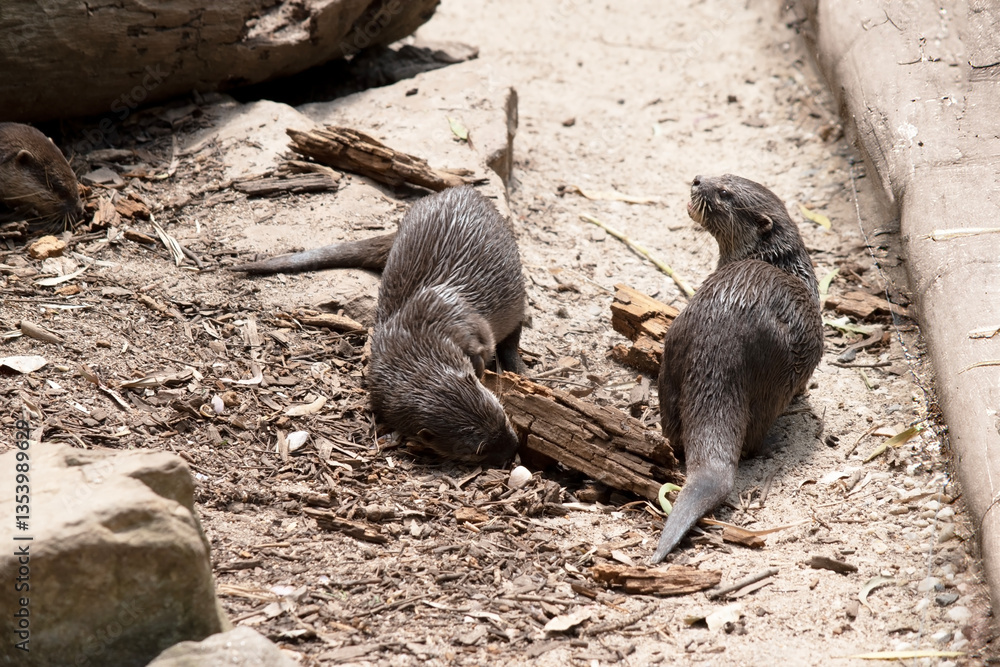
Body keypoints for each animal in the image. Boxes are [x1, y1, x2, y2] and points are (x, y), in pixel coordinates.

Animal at [237, 186, 526, 466]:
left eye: (500, 414)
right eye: (477, 450)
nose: (513, 448)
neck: (413, 338)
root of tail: (460, 190)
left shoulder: (462, 322)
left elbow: (482, 347)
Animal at [650, 174, 823, 563]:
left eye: (725, 192)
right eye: (720, 180)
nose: (698, 179)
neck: (781, 263)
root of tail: (720, 337)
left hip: (674, 346)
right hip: (775, 375)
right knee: (755, 433)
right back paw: (774, 441)